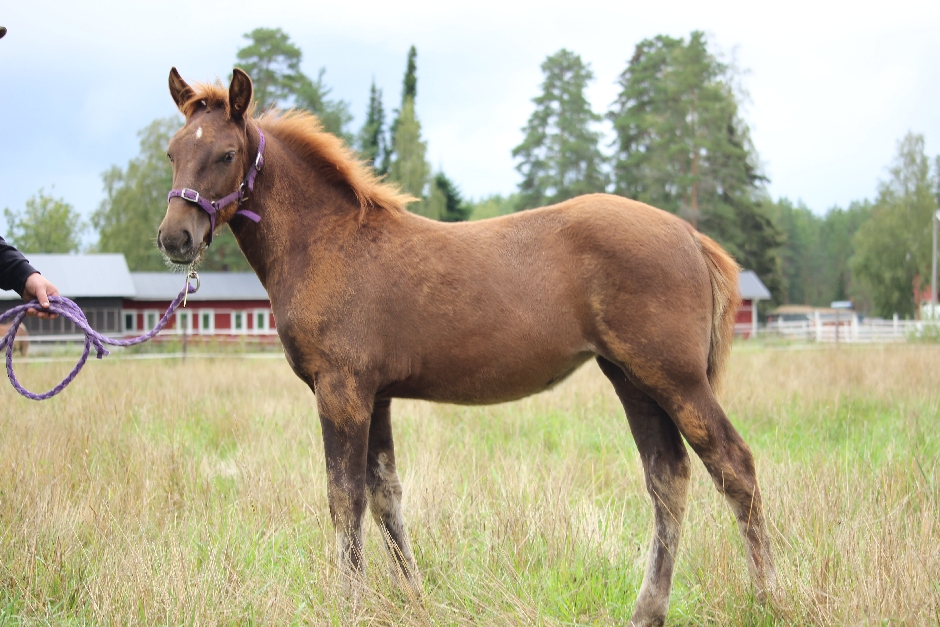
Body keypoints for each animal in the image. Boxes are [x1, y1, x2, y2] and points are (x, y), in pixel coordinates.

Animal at [160, 68, 780, 627]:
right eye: (172, 152)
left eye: (226, 154)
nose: (175, 237)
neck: (328, 242)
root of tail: (690, 236)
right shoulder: (376, 395)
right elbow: (385, 496)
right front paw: (416, 602)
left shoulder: (342, 390)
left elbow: (345, 499)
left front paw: (349, 607)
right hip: (631, 377)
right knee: (667, 478)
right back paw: (648, 612)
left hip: (674, 378)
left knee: (734, 467)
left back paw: (769, 599)